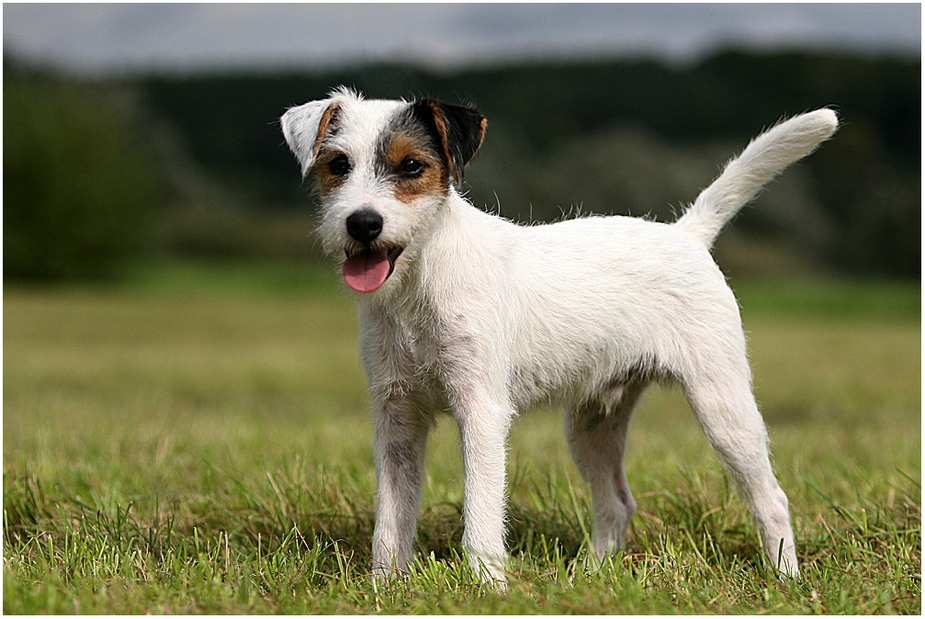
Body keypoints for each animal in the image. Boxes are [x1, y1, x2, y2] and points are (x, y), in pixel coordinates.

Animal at [278, 88, 832, 588]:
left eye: (412, 166)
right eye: (338, 164)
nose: (362, 224)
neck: (421, 280)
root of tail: (686, 234)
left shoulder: (481, 411)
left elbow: (481, 512)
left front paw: (488, 587)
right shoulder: (397, 417)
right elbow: (391, 520)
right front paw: (386, 586)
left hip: (722, 405)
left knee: (770, 497)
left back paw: (784, 577)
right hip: (592, 425)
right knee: (617, 503)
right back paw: (593, 576)